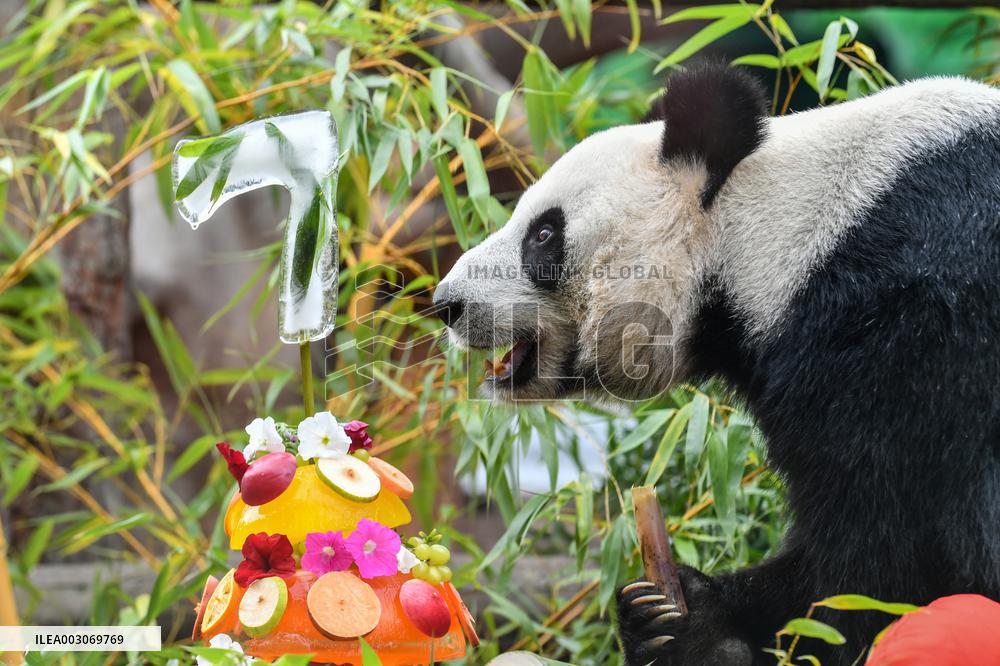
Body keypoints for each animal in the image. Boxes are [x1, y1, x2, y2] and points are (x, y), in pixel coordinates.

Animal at [433, 60, 1000, 665]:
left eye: (543, 233)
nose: (447, 303)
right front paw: (665, 616)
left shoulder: (899, 334)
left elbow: (875, 566)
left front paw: (697, 625)